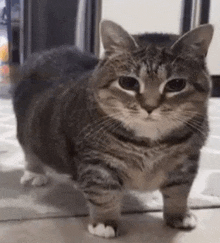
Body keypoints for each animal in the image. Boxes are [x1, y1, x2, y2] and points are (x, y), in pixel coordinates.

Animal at [12, 20, 213, 237]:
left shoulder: (186, 161)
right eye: (128, 82)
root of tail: (50, 51)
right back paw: (35, 173)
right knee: (30, 151)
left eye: (176, 84)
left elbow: (179, 192)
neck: (149, 143)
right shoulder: (98, 163)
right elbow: (104, 194)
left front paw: (179, 215)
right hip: (27, 130)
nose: (149, 107)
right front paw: (104, 222)